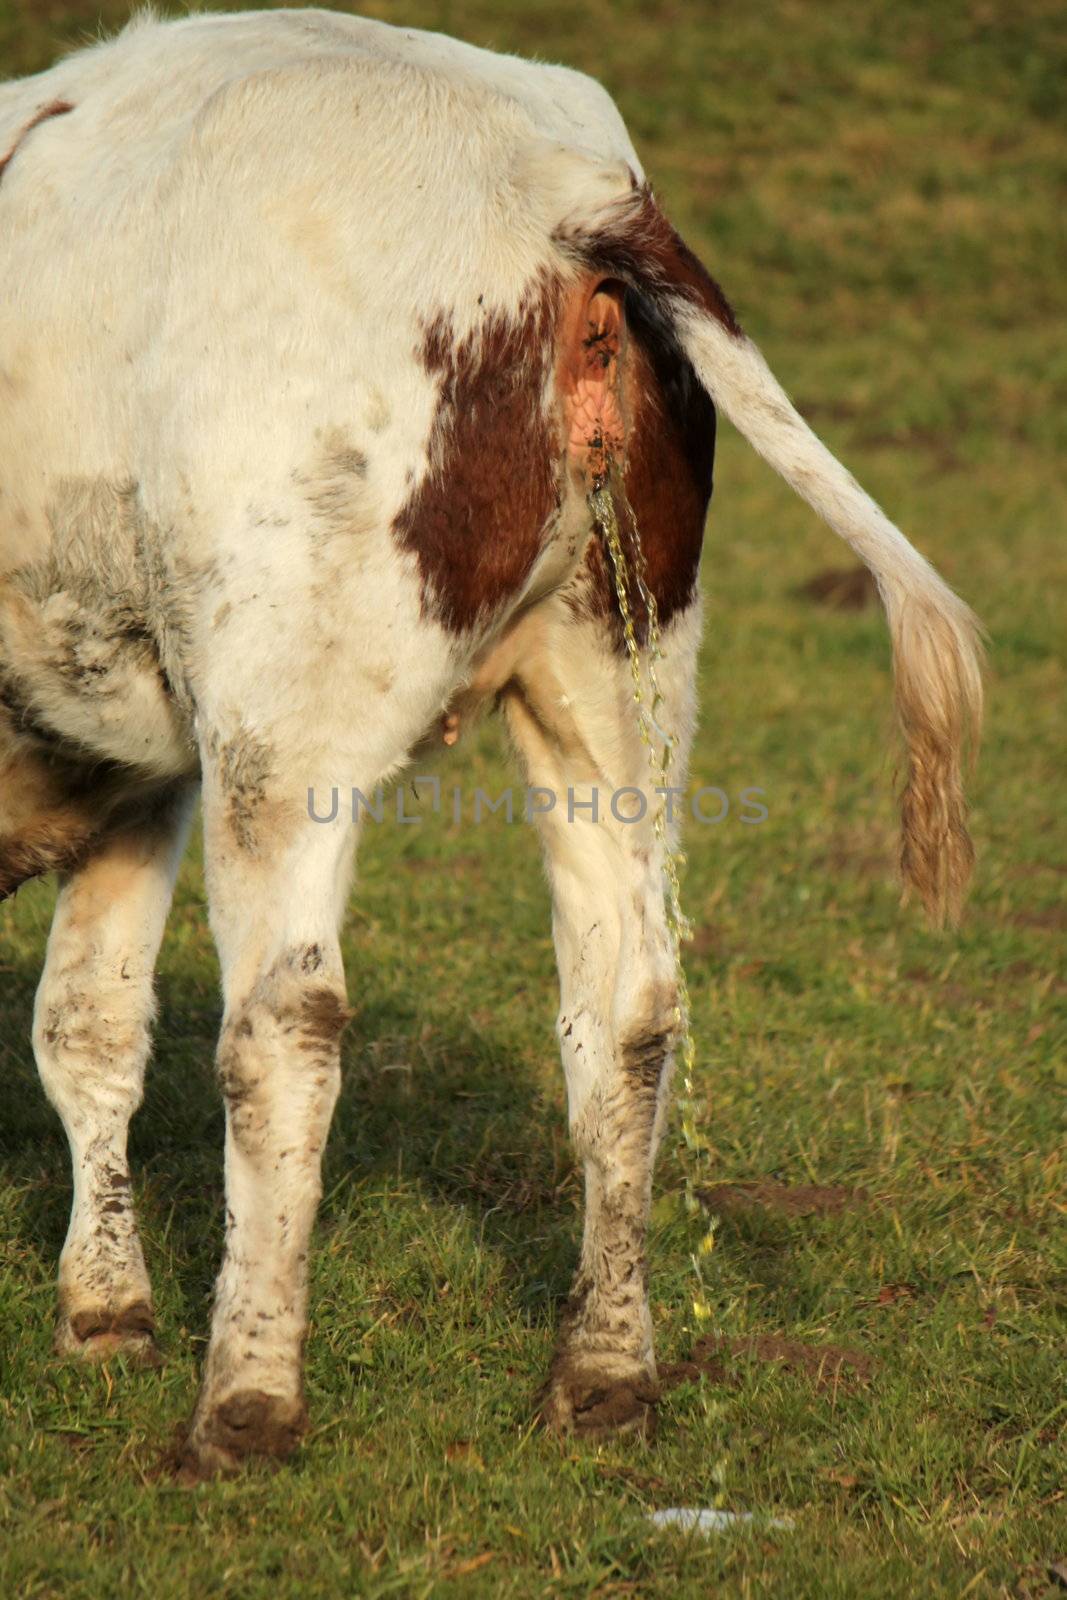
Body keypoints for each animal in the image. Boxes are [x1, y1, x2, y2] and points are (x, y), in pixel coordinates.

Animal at [0, 6, 985, 1472]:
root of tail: (547, 173)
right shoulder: (129, 752)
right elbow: (89, 1021)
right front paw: (106, 1310)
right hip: (619, 666)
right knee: (626, 1000)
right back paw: (605, 1372)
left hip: (286, 710)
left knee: (286, 1025)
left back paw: (246, 1400)